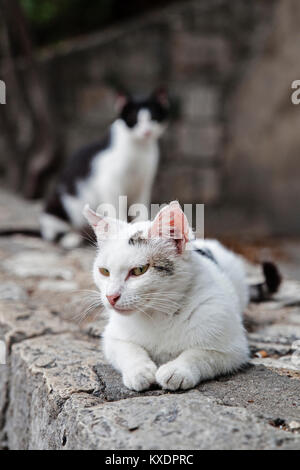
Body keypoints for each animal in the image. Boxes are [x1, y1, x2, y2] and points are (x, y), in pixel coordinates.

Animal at [82, 200, 282, 392]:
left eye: (139, 270)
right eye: (104, 271)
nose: (111, 296)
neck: (159, 315)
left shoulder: (232, 348)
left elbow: (199, 354)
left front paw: (177, 370)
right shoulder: (113, 338)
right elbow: (128, 349)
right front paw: (139, 370)